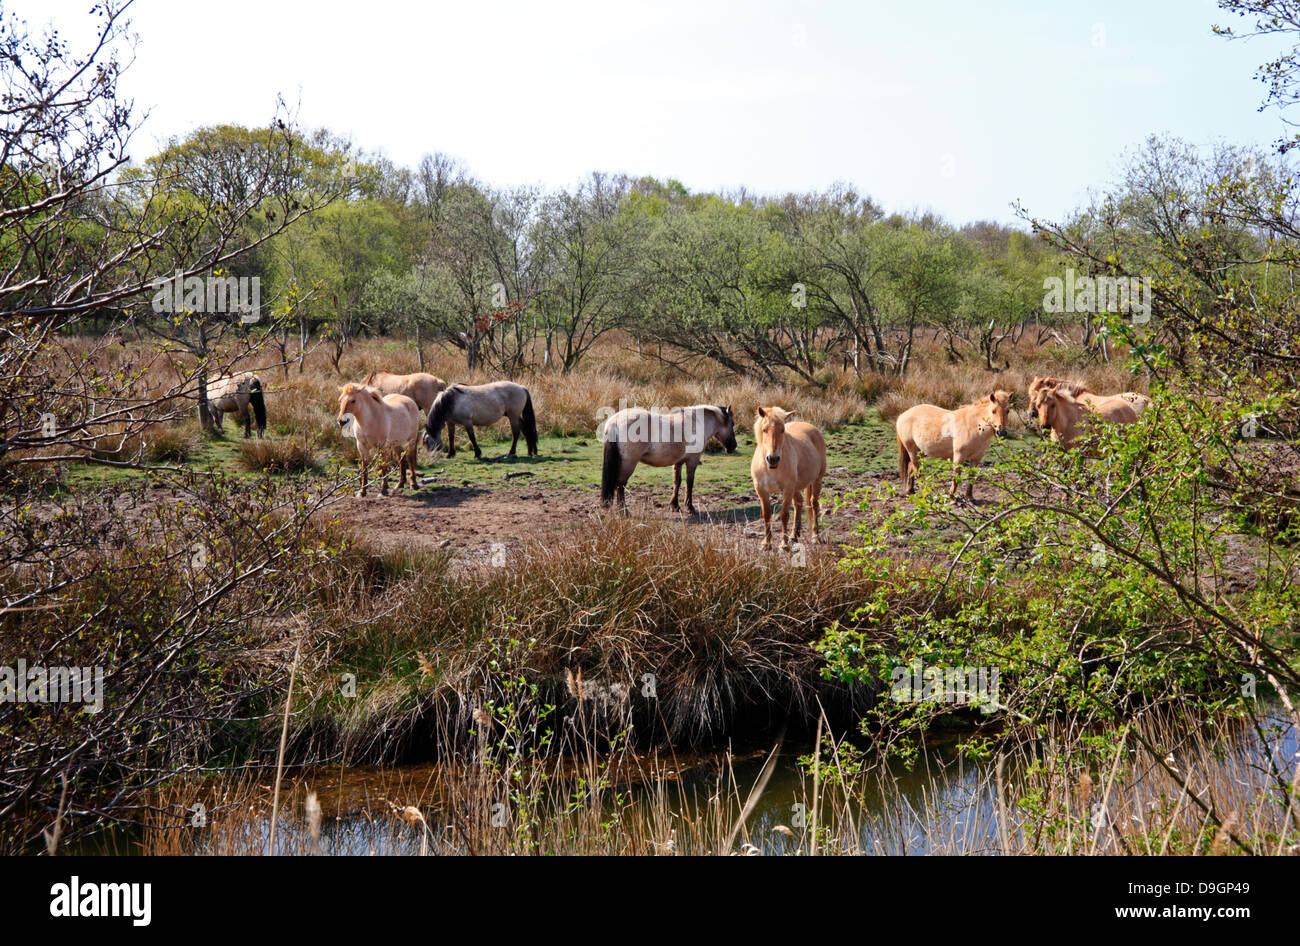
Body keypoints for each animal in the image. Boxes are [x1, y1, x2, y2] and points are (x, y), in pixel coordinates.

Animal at [595, 402, 738, 514]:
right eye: (732, 423)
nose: (733, 446)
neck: (696, 422)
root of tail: (615, 421)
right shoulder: (692, 461)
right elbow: (689, 483)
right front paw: (690, 507)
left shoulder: (678, 462)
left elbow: (677, 482)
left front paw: (675, 506)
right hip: (628, 464)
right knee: (620, 485)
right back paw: (624, 512)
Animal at [748, 405, 826, 550]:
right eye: (764, 430)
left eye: (782, 430)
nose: (773, 459)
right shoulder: (761, 490)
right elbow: (766, 515)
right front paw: (766, 543)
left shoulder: (787, 489)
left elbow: (784, 515)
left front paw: (783, 545)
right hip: (796, 487)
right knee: (798, 503)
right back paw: (794, 535)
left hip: (817, 480)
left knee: (814, 504)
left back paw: (815, 536)